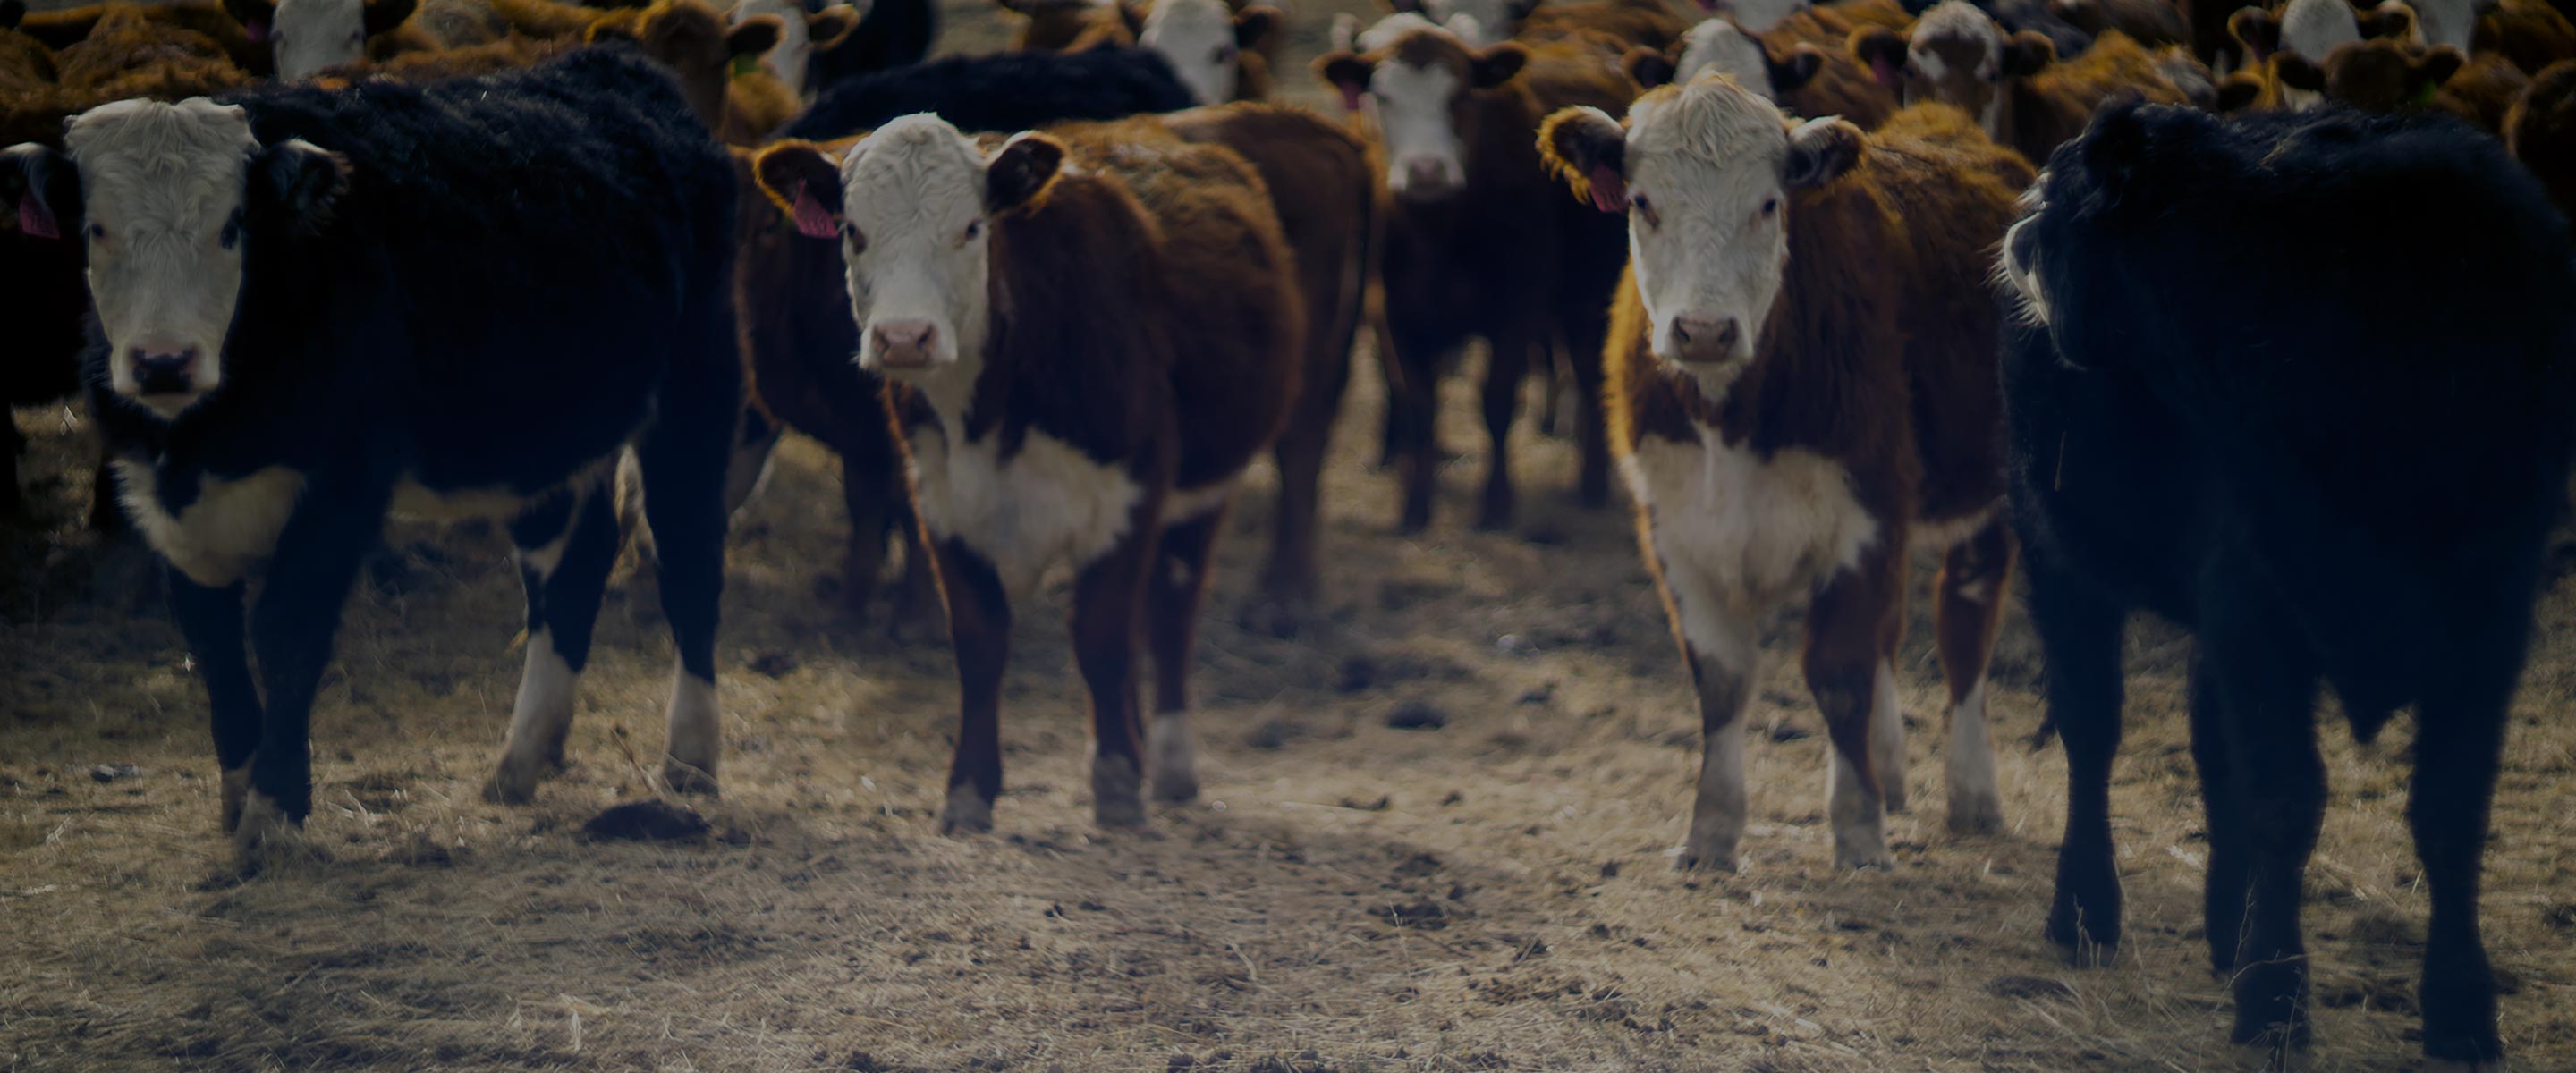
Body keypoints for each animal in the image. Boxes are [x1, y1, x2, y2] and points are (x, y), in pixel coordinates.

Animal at [0, 47, 743, 858]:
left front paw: (273, 811)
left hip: (697, 388)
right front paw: (239, 794)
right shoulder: (163, 500)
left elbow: (287, 629)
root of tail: (614, 67)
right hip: (547, 444)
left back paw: (690, 760)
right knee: (572, 568)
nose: (163, 363)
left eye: (232, 226)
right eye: (96, 229)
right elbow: (213, 640)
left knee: (687, 558)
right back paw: (520, 762)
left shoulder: (344, 480)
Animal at [750, 114, 1300, 830]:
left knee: (1170, 611)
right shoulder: (940, 500)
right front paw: (969, 789)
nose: (903, 338)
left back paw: (1169, 764)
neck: (992, 407)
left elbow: (1101, 635)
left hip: (1205, 492)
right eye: (853, 231)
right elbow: (980, 642)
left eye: (970, 228)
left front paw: (1117, 782)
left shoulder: (1131, 493)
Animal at [1316, 26, 1634, 532]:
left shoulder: (1515, 311)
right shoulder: (1394, 315)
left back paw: (1592, 487)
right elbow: (1419, 405)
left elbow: (1496, 400)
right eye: (1382, 97)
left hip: (1589, 298)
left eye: (1461, 95)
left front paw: (1495, 505)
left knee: (1589, 378)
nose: (1426, 171)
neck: (1441, 234)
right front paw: (1415, 508)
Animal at [1538, 82, 2031, 869]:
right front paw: (1710, 831)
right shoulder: (1673, 529)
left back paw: (1973, 793)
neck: (1730, 418)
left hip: (1991, 495)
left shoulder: (1864, 518)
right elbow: (1723, 678)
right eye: (1643, 202)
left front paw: (1858, 831)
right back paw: (1891, 773)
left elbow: (1840, 671)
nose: (1703, 330)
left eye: (1768, 204)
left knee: (1964, 629)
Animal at [1999, 99, 2575, 1071]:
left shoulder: (2488, 622)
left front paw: (2461, 1009)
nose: (2026, 220)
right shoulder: (2255, 610)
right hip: (2060, 559)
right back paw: (2085, 910)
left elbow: (2450, 813)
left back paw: (2225, 930)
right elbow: (2285, 801)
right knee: (2092, 729)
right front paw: (2274, 1001)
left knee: (2204, 744)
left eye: (2069, 189)